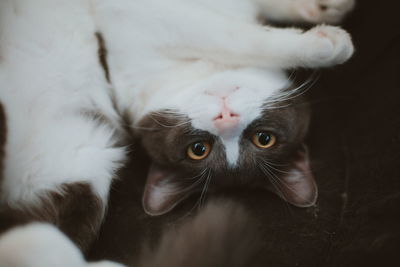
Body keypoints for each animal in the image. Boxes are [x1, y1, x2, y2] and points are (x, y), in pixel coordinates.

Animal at [0, 0, 354, 267]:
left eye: (263, 139)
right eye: (199, 149)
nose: (226, 118)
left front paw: (322, 25)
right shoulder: (145, 21)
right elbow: (236, 30)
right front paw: (324, 27)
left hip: (84, 167)